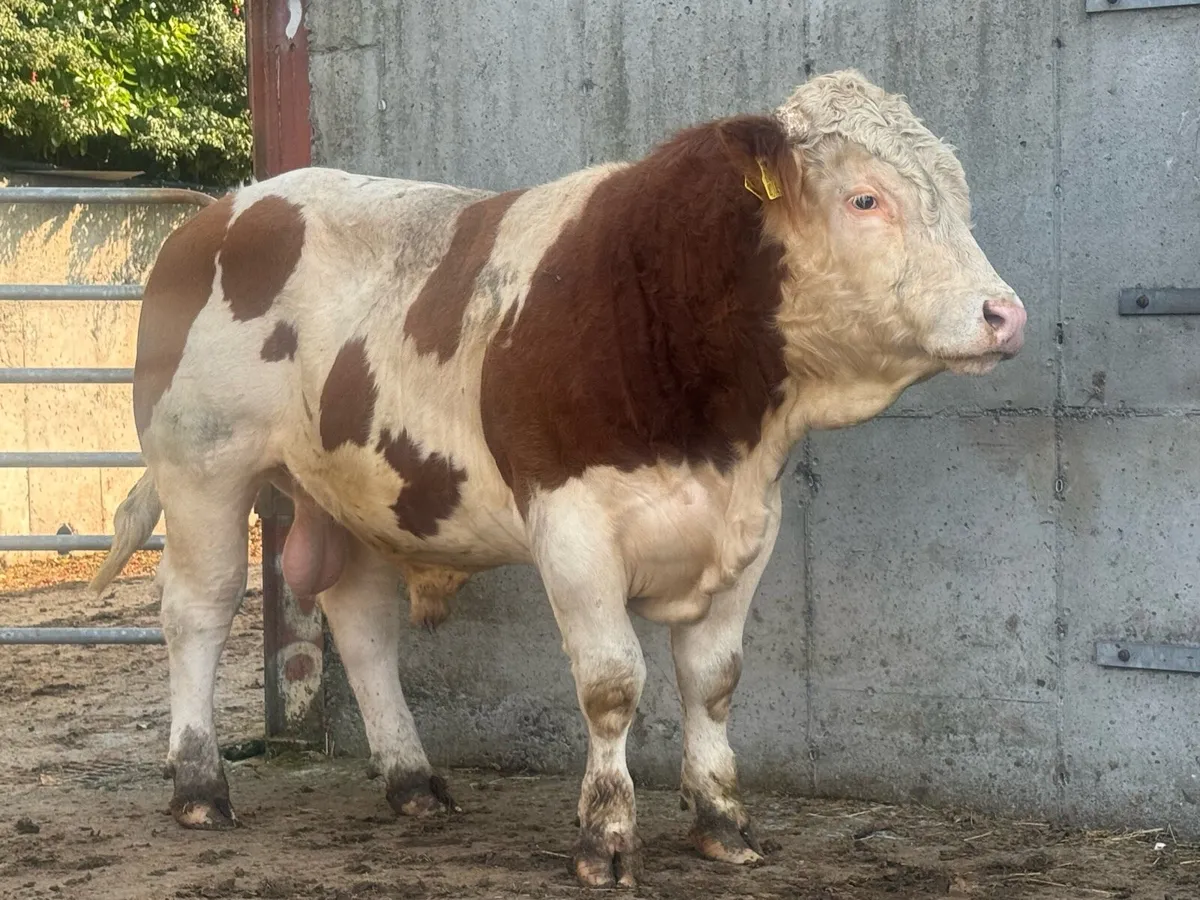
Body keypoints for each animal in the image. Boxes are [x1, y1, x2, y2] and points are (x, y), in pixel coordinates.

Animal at [89, 69, 1026, 888]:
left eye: (960, 198)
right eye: (866, 198)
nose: (1004, 313)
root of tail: (223, 209)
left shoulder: (751, 526)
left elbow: (713, 681)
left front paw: (722, 822)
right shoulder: (572, 526)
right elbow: (612, 684)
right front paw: (605, 837)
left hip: (353, 489)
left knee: (362, 625)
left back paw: (412, 781)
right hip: (202, 466)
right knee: (199, 612)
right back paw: (200, 787)